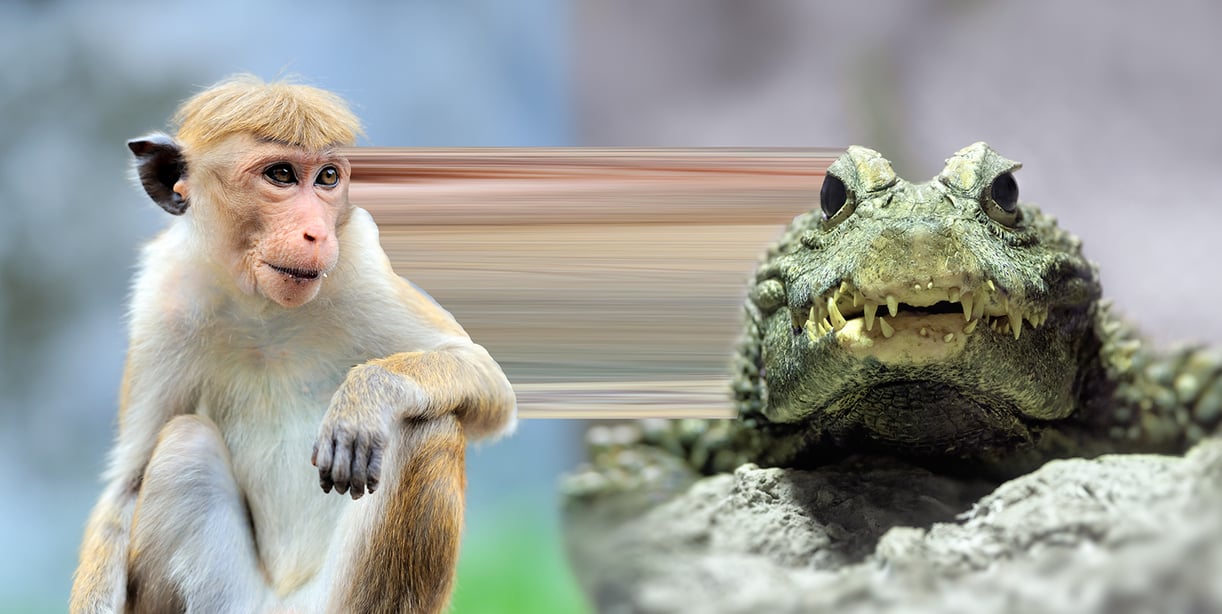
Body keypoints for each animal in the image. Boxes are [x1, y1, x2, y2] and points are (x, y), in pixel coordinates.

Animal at [69, 75, 517, 614]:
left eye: (327, 177)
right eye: (280, 174)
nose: (317, 234)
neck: (265, 309)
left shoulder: (360, 265)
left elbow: (485, 379)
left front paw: (366, 397)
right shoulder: (165, 297)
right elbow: (126, 484)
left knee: (424, 428)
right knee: (185, 443)